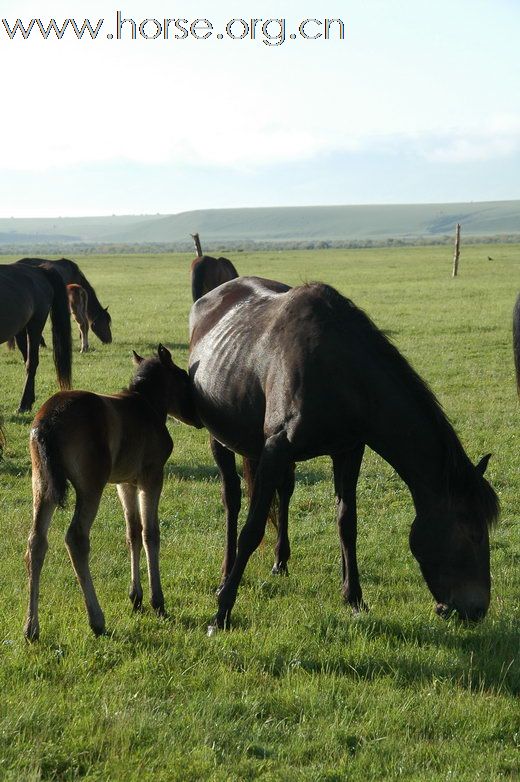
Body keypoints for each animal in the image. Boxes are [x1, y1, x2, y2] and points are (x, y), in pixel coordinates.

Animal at [0, 264, 72, 414]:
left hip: (36, 324)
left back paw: (23, 405)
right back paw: (28, 402)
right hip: (21, 329)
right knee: (28, 361)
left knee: (32, 362)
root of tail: (38, 270)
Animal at [24, 346, 203, 640]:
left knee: (36, 541)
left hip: (42, 484)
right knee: (76, 538)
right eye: (184, 379)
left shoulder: (125, 483)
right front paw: (157, 602)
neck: (147, 405)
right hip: (90, 486)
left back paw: (31, 627)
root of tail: (47, 421)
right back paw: (96, 620)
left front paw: (136, 597)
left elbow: (132, 532)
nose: (197, 417)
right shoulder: (152, 477)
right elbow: (150, 533)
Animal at [188, 278, 500, 632]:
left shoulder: (348, 450)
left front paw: (354, 598)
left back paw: (280, 561)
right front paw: (222, 612)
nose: (477, 609)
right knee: (232, 500)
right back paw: (225, 575)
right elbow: (251, 530)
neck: (341, 373)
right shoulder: (276, 448)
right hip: (219, 439)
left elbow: (346, 522)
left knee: (284, 494)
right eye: (473, 534)